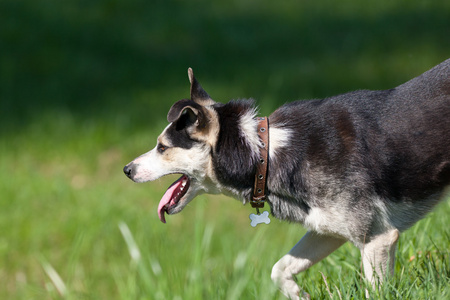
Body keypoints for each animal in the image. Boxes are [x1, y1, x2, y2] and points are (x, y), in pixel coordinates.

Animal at [124, 59, 450, 298]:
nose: (127, 170)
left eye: (162, 147)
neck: (263, 153)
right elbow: (279, 269)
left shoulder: (377, 238)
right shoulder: (326, 231)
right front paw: (299, 294)